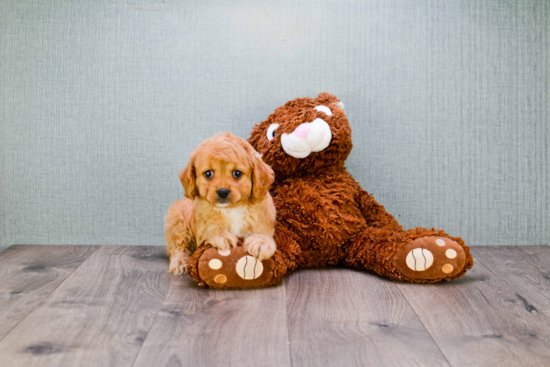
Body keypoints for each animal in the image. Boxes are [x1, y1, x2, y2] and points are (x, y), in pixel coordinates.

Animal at [163, 132, 276, 274]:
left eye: (237, 173)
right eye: (208, 173)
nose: (222, 192)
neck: (232, 208)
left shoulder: (263, 217)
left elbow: (263, 232)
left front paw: (261, 242)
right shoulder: (201, 226)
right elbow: (210, 230)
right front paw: (221, 235)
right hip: (178, 220)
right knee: (177, 246)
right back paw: (180, 261)